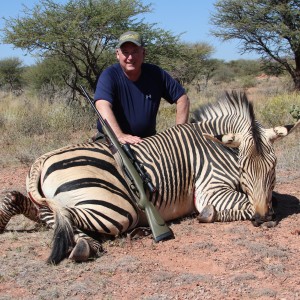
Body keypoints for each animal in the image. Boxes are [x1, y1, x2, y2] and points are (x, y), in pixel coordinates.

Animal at [1, 91, 298, 262]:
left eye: (273, 168)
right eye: (243, 167)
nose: (262, 218)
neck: (215, 145)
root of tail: (41, 160)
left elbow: (272, 198)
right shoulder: (210, 190)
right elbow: (246, 204)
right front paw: (209, 214)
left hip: (51, 204)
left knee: (26, 204)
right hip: (117, 209)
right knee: (67, 217)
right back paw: (88, 247)